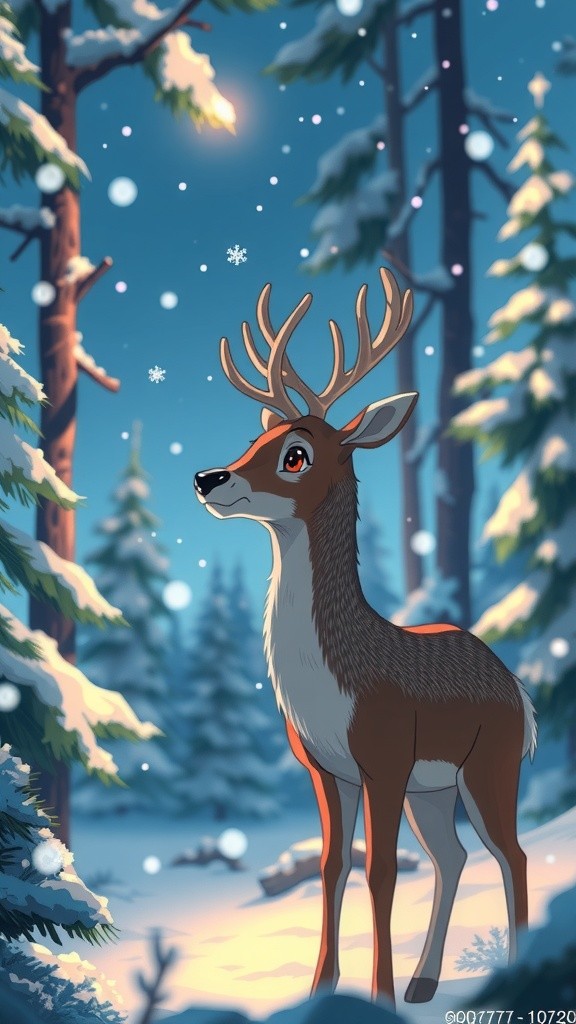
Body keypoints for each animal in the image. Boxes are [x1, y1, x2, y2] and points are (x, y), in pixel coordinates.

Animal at [194, 267, 536, 1007]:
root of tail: (518, 689)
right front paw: (321, 989)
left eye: (297, 454)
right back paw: (424, 982)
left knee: (512, 854)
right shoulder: (327, 770)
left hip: (488, 764)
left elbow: (381, 872)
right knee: (454, 856)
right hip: (433, 790)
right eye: (257, 439)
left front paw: (375, 994)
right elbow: (331, 868)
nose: (208, 477)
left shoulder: (383, 758)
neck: (335, 680)